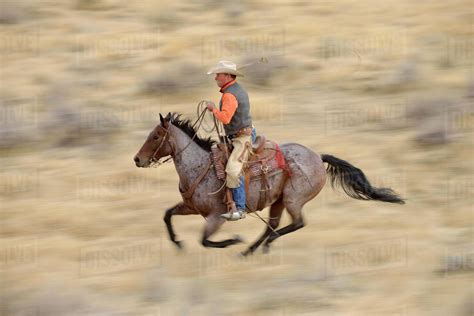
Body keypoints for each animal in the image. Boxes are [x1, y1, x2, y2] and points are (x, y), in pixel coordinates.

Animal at [133, 112, 404, 256]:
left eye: (155, 136)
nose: (137, 159)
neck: (200, 167)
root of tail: (318, 157)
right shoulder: (190, 207)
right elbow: (167, 215)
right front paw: (178, 243)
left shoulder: (217, 217)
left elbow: (205, 241)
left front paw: (234, 240)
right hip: (279, 201)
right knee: (273, 226)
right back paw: (251, 250)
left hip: (293, 200)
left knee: (295, 224)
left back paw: (259, 246)